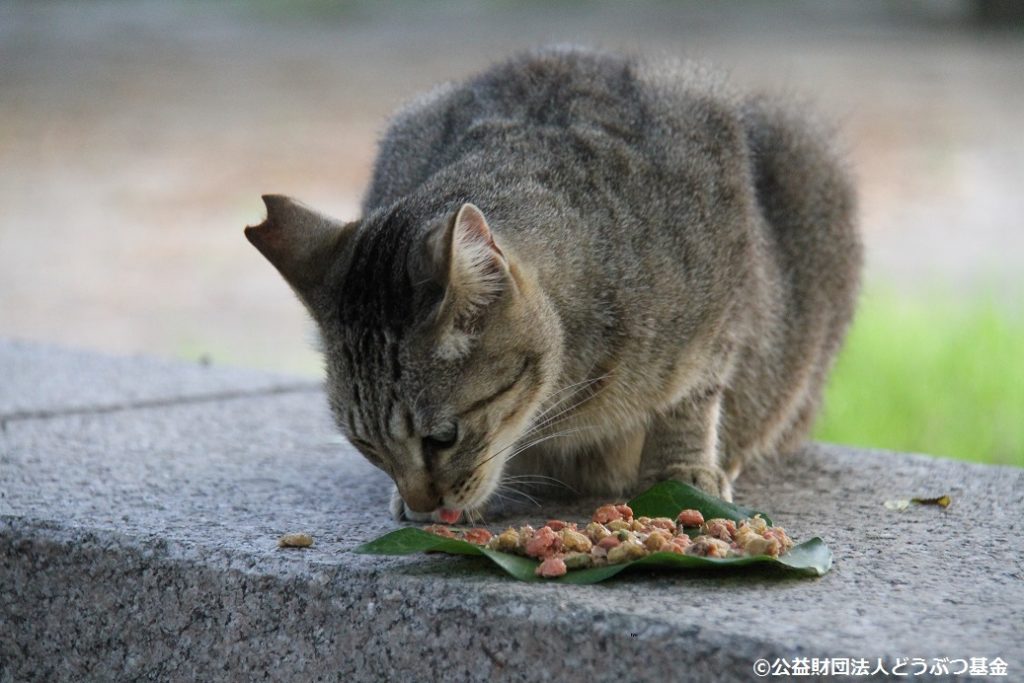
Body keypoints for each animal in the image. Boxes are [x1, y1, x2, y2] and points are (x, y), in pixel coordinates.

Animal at [247, 46, 864, 524]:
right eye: (366, 446)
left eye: (442, 437)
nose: (423, 506)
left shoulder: (724, 305)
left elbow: (691, 397)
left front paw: (680, 471)